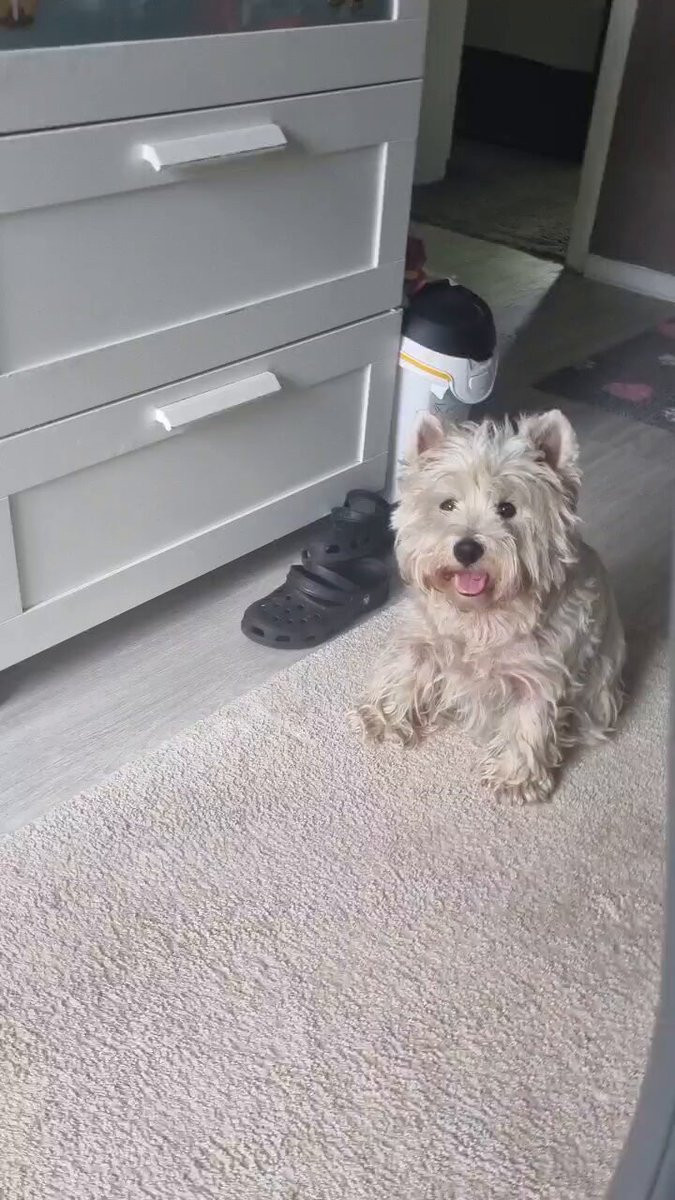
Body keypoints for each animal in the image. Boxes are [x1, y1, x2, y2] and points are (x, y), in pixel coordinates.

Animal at [355, 410, 624, 803]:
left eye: (507, 509)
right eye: (447, 504)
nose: (467, 549)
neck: (479, 617)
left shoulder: (539, 672)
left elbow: (529, 720)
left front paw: (515, 779)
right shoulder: (423, 638)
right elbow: (406, 670)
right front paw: (385, 717)